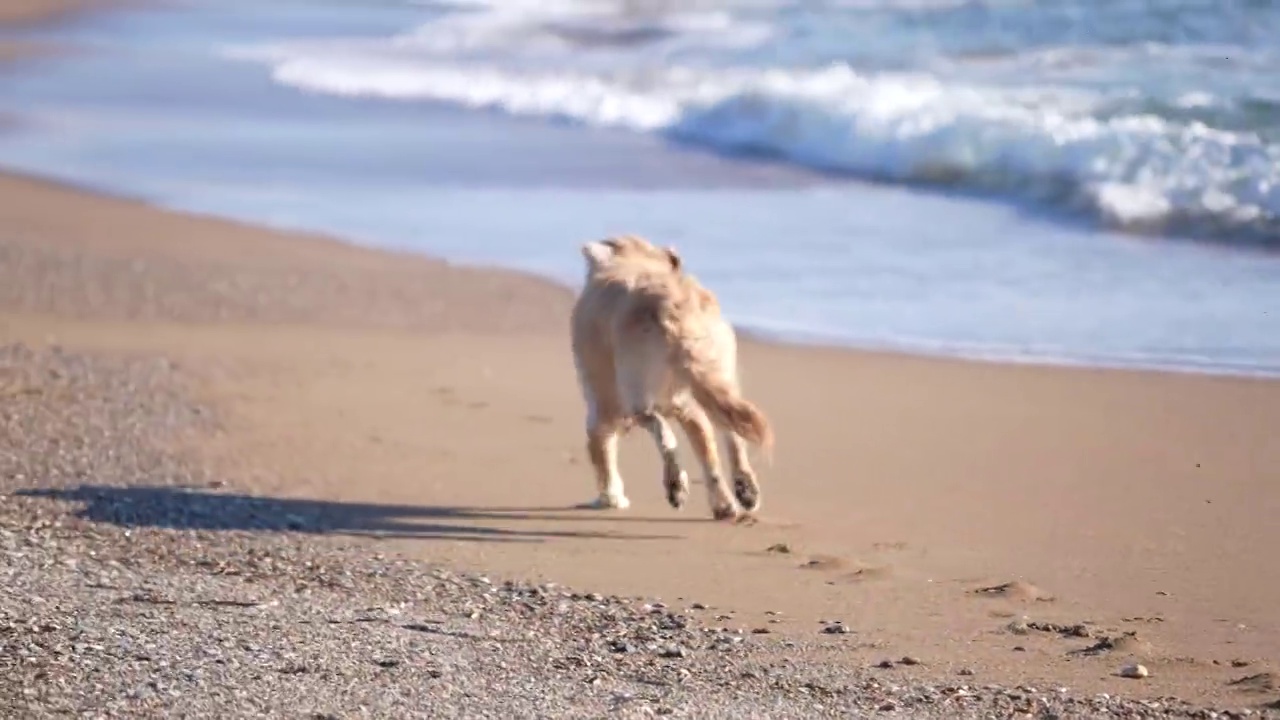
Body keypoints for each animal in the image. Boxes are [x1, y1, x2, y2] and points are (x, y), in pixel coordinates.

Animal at [573, 233, 773, 517]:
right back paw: (741, 493)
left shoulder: (602, 408)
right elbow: (708, 454)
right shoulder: (688, 407)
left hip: (636, 395)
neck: (631, 259)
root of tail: (672, 307)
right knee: (730, 434)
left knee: (661, 431)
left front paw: (610, 498)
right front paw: (725, 502)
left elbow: (602, 453)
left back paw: (676, 485)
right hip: (716, 379)